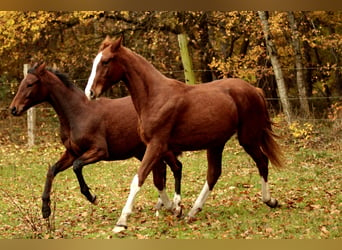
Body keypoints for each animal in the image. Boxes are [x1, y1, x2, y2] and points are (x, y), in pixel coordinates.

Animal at [9, 63, 183, 220]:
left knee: (176, 167)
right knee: (161, 170)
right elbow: (52, 170)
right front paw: (46, 210)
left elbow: (77, 166)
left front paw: (91, 197)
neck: (78, 113)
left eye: (30, 84)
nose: (13, 109)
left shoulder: (99, 151)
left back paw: (174, 206)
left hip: (161, 148)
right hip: (142, 152)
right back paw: (162, 205)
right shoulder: (72, 152)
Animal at [85, 36, 284, 232]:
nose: (90, 93)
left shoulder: (156, 145)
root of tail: (255, 90)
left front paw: (121, 222)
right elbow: (159, 180)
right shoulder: (158, 148)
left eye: (105, 61)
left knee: (262, 161)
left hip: (247, 138)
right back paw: (193, 212)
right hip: (216, 143)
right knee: (214, 174)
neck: (155, 97)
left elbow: (139, 179)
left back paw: (270, 200)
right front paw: (175, 208)